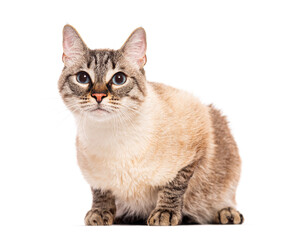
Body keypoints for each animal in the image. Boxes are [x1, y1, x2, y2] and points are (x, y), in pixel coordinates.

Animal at [57, 24, 243, 225]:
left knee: (222, 202)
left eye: (119, 79)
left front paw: (164, 213)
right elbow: (101, 193)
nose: (99, 96)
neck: (111, 135)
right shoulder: (95, 176)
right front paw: (100, 213)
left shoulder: (197, 145)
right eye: (82, 78)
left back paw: (227, 214)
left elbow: (173, 187)